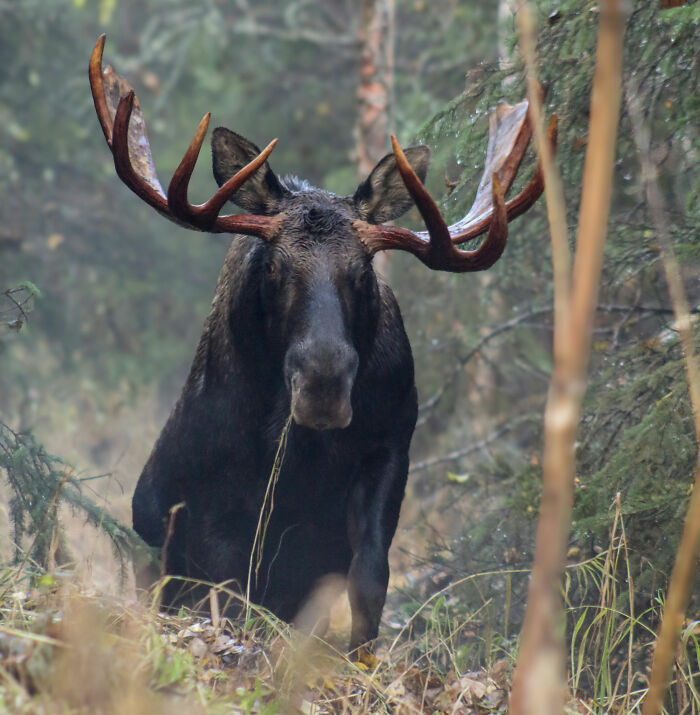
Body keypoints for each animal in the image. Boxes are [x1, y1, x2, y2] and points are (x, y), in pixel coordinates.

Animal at [89, 34, 554, 660]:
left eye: (362, 271)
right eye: (275, 268)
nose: (323, 387)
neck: (303, 454)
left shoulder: (388, 451)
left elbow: (370, 578)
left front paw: (361, 661)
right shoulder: (209, 488)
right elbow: (230, 588)